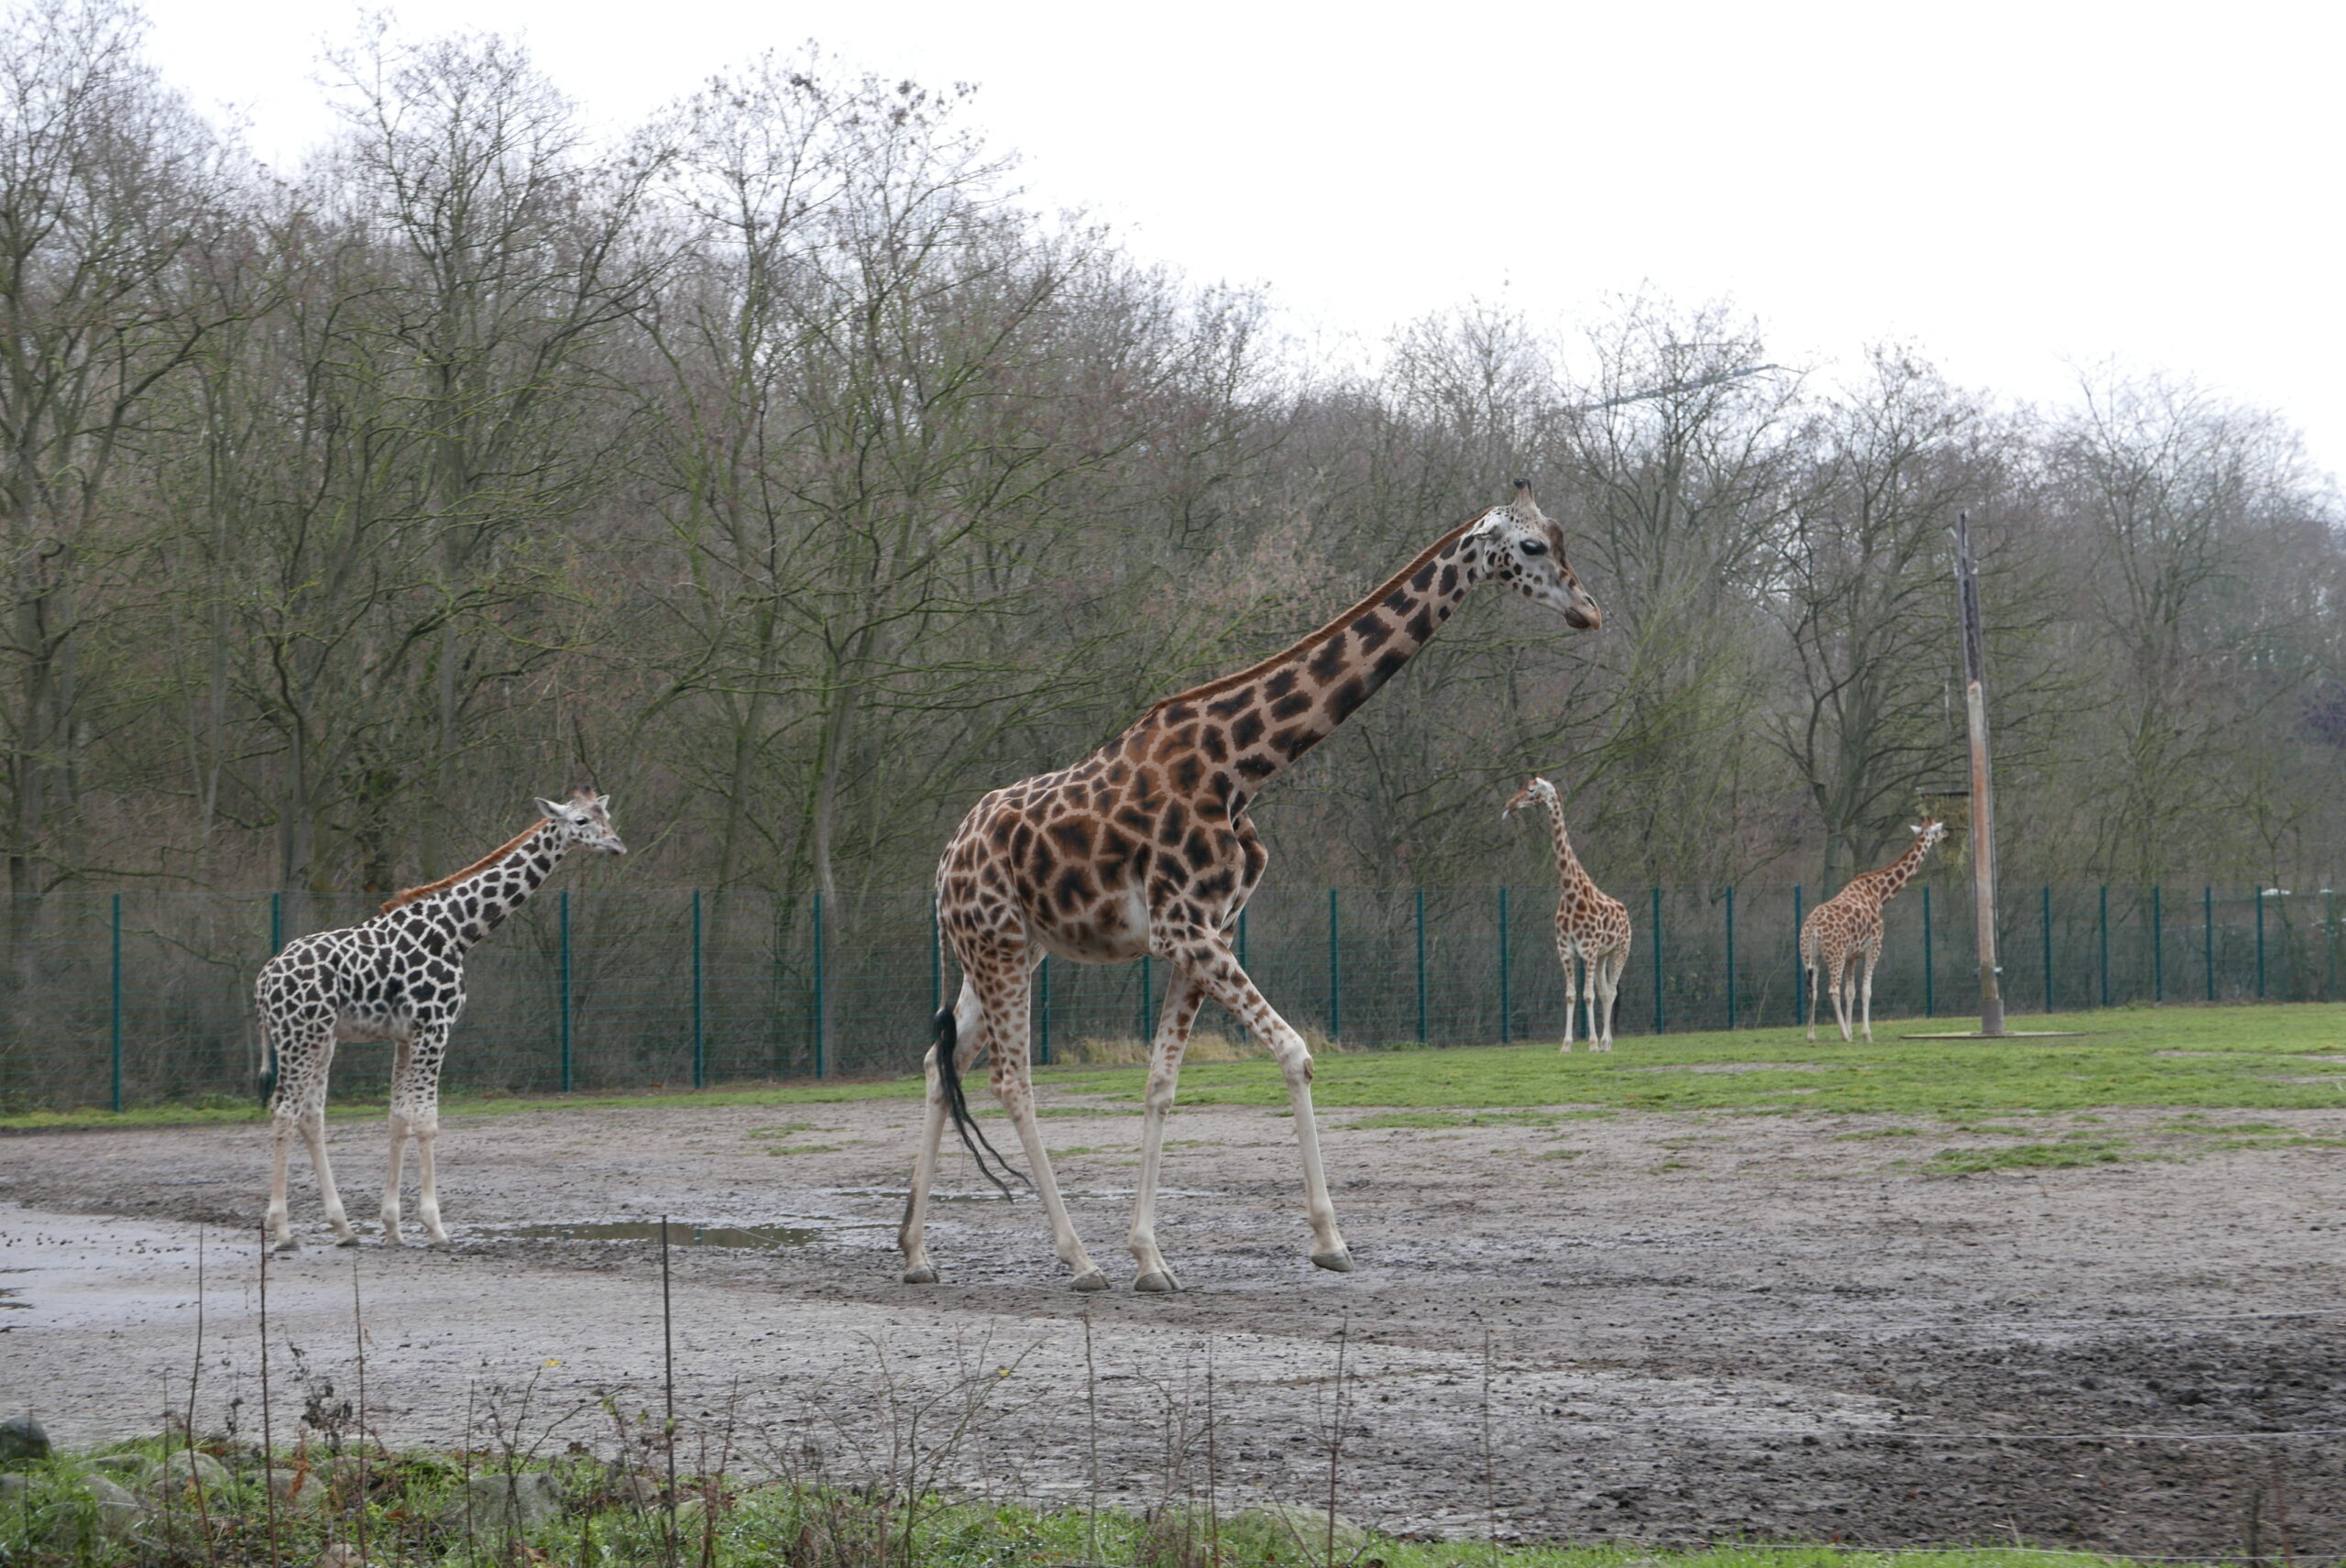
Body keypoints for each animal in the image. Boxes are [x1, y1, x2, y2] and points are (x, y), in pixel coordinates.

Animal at [257, 789, 626, 1251]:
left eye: (605, 814)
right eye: (580, 820)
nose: (616, 845)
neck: (457, 931)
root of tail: (263, 981)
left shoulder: (405, 1035)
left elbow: (398, 1119)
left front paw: (393, 1227)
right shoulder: (436, 1026)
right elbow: (426, 1121)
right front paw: (435, 1227)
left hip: (322, 1038)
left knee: (310, 1115)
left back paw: (343, 1228)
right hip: (300, 1036)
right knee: (284, 1112)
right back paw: (283, 1229)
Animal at [901, 480, 1603, 1292]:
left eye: (1560, 536)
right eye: (1531, 546)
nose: (1590, 610)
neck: (1241, 765)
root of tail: (944, 861)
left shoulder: (1207, 932)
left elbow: (1161, 1082)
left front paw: (1150, 1255)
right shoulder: (1185, 927)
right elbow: (1296, 1052)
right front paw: (1329, 1239)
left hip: (1006, 949)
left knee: (940, 1061)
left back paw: (916, 1252)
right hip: (1000, 947)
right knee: (1011, 1080)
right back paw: (1076, 1258)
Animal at [1502, 776, 1631, 1052]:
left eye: (1531, 789)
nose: (1508, 805)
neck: (1571, 896)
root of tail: (1625, 913)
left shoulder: (1589, 950)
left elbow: (1588, 995)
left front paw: (1592, 1043)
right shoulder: (1566, 950)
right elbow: (1571, 994)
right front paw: (1567, 1044)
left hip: (1620, 950)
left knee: (1611, 991)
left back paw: (1605, 1042)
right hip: (1603, 955)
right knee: (1606, 991)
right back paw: (1605, 1042)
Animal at [1800, 817, 1947, 1043]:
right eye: (1939, 829)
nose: (1947, 834)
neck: (1880, 894)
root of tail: (1813, 928)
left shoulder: (1852, 955)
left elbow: (1850, 991)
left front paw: (1852, 1030)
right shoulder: (1874, 946)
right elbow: (1866, 990)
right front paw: (1865, 1034)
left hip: (1810, 956)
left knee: (1812, 990)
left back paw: (1811, 1035)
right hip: (1835, 955)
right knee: (1832, 990)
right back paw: (1843, 1036)